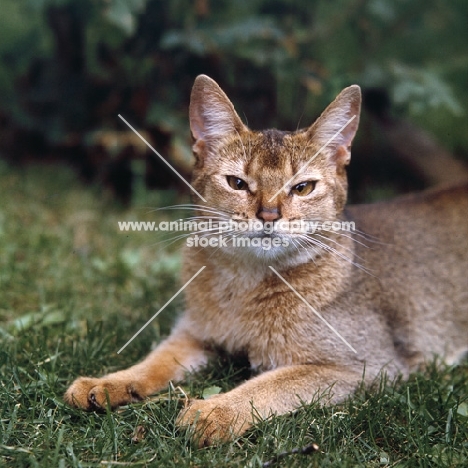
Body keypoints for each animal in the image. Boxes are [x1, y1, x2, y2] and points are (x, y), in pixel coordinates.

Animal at [65, 74, 468, 446]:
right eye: (237, 183)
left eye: (303, 187)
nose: (269, 215)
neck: (243, 286)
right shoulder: (195, 333)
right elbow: (156, 359)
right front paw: (108, 382)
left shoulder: (365, 366)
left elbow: (271, 384)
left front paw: (215, 410)